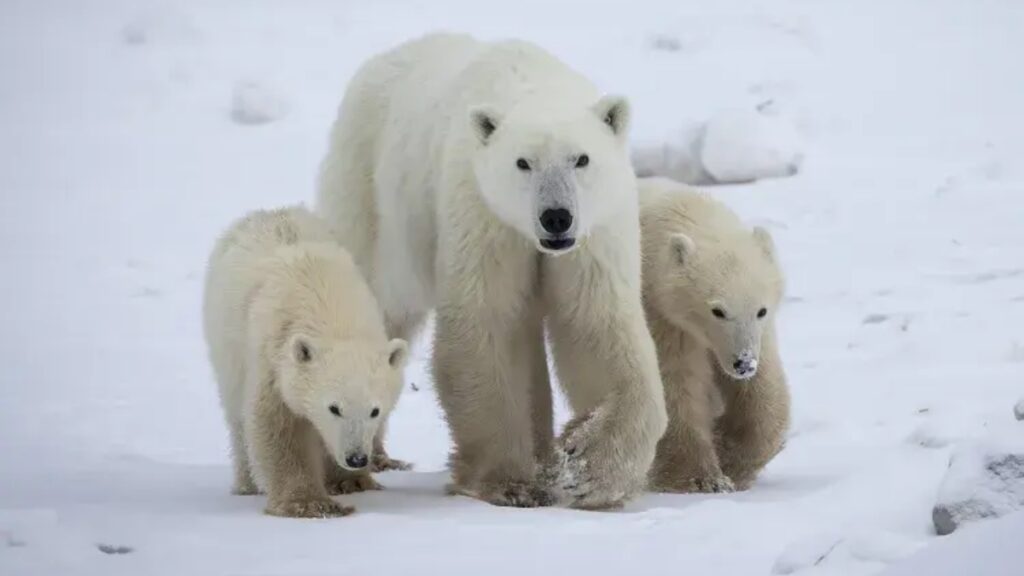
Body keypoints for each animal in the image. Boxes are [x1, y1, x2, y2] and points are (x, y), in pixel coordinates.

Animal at [202, 205, 409, 518]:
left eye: (375, 410)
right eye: (334, 408)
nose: (357, 458)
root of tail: (270, 212)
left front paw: (351, 482)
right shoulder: (274, 358)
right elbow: (279, 425)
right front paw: (308, 503)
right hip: (226, 346)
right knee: (236, 415)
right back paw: (246, 484)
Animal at [316, 32, 667, 509]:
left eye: (581, 159)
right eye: (523, 162)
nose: (556, 217)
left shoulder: (594, 232)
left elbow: (594, 323)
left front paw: (589, 468)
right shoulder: (484, 215)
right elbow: (488, 324)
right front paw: (510, 483)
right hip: (370, 197)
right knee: (377, 307)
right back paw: (366, 461)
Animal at [637, 176, 790, 493]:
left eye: (761, 310)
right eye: (717, 311)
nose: (743, 363)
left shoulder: (761, 336)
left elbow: (763, 391)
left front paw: (733, 458)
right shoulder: (663, 315)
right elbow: (676, 385)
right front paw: (703, 479)